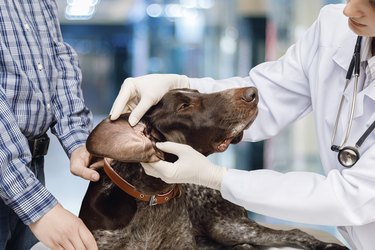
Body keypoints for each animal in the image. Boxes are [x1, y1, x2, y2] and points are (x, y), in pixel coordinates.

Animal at [80, 87, 350, 249]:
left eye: (198, 92)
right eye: (183, 107)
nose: (252, 91)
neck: (151, 195)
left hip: (227, 226)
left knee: (292, 232)